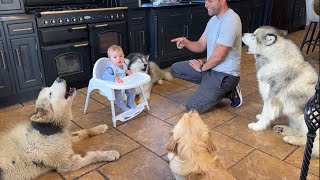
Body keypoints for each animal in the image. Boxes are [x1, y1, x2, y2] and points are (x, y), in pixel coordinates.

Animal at [241, 26, 318, 157]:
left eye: (253, 36)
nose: (242, 33)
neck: (275, 59)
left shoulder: (271, 99)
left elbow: (266, 114)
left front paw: (257, 126)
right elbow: (264, 112)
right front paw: (259, 117)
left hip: (308, 117)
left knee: (311, 142)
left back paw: (292, 139)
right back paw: (283, 129)